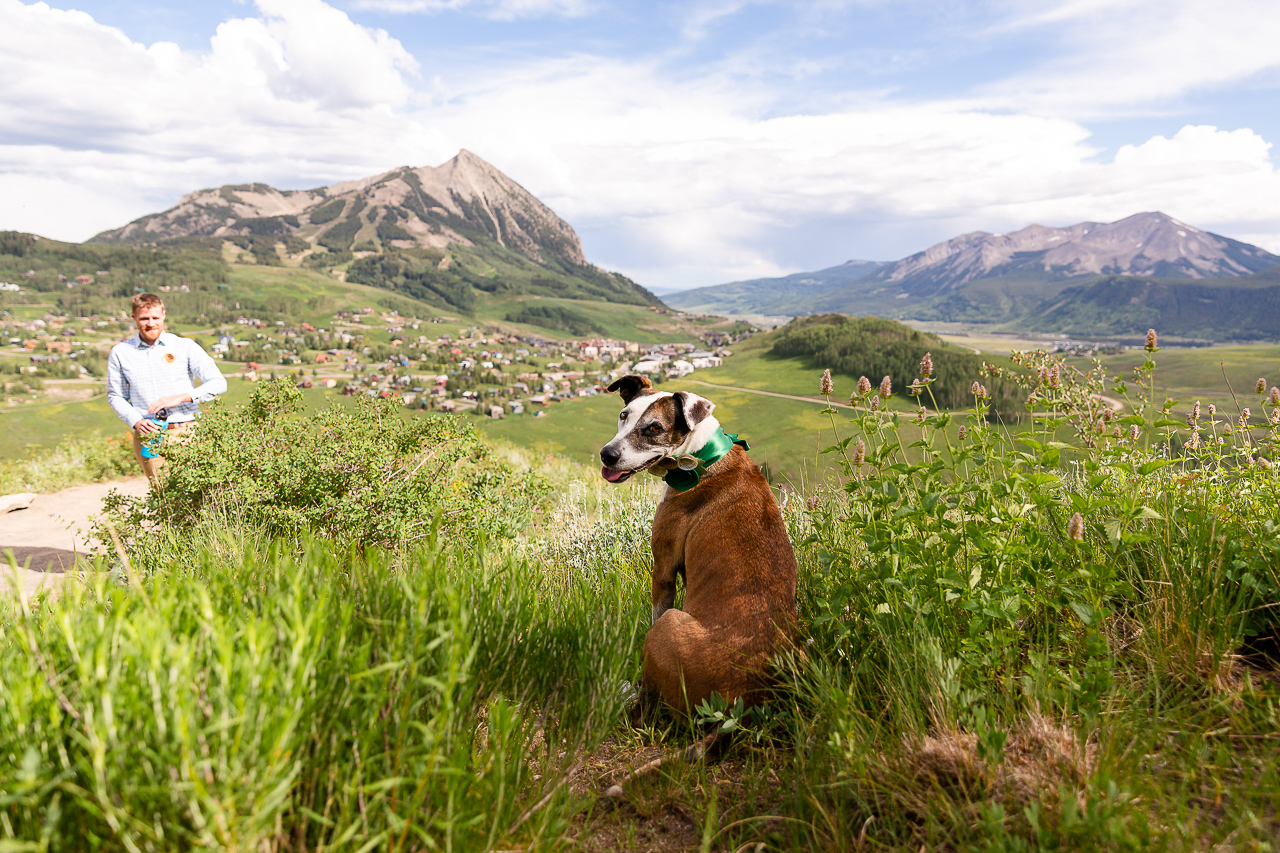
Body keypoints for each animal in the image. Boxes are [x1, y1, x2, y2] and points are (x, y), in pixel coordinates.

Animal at [596, 371, 793, 712]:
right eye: (624, 415)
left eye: (654, 429)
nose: (607, 454)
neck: (700, 457)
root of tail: (741, 699)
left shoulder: (663, 568)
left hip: (670, 625)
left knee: (646, 700)